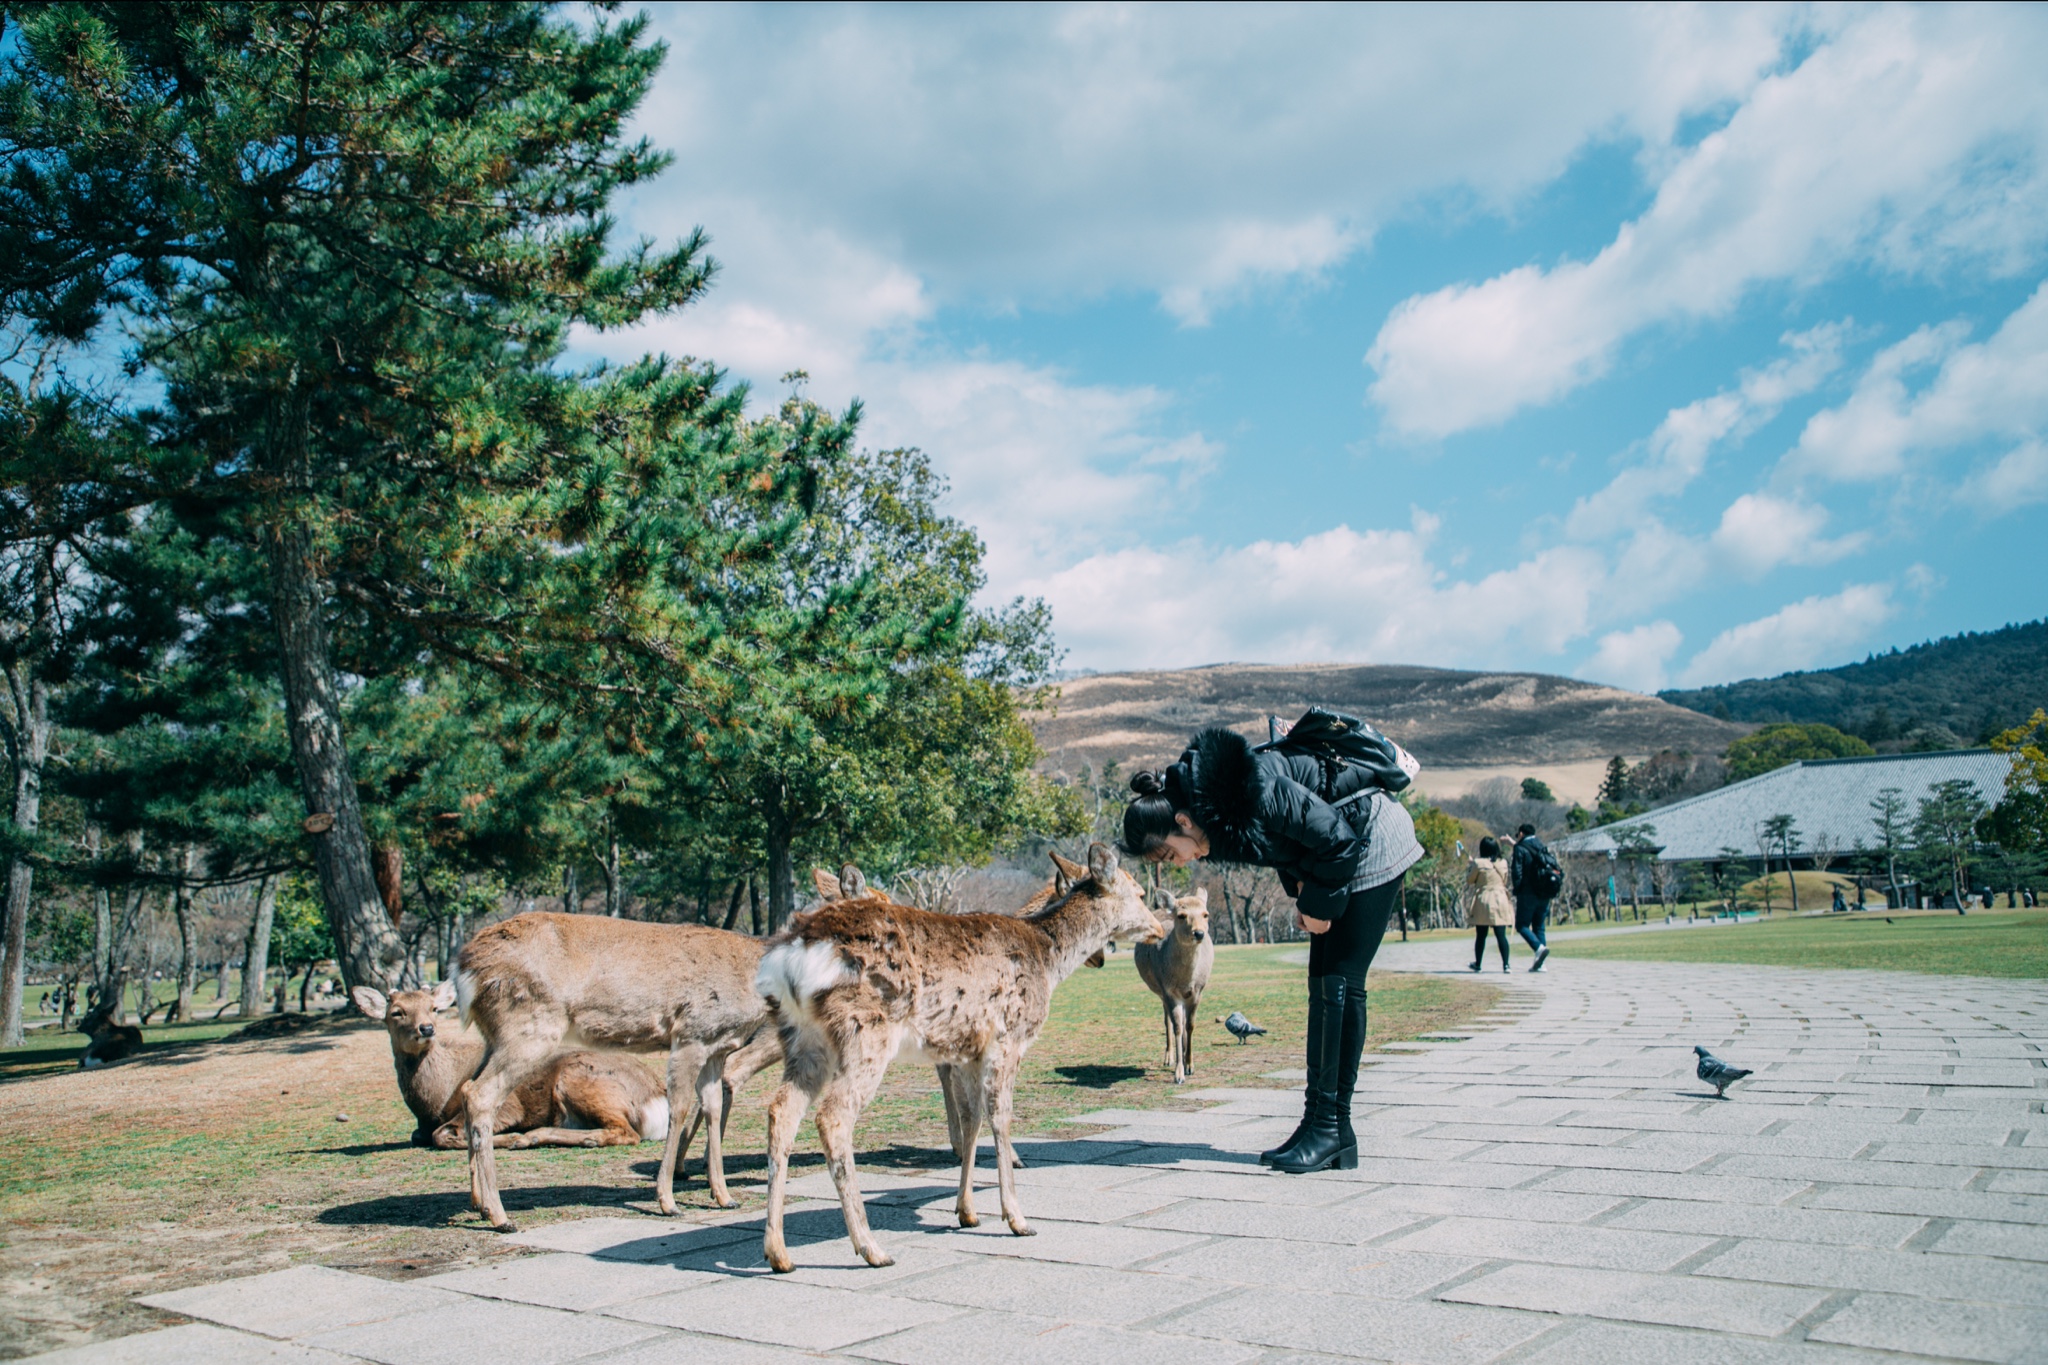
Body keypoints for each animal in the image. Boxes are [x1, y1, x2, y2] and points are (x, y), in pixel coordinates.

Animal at [352, 982, 671, 1154]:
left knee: (627, 1132)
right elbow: (419, 1134)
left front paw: (509, 1138)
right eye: (396, 1012)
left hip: (580, 1080)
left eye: (433, 1008)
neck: (434, 1100)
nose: (426, 1029)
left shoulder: (509, 1106)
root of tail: (656, 1097)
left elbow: (441, 1135)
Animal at [456, 916, 782, 1227]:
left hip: (494, 1037)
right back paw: (500, 1215)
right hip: (530, 1027)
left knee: (467, 1088)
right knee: (481, 1095)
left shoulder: (717, 1047)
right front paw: (667, 1201)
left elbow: (712, 1107)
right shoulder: (691, 1035)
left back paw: (479, 1203)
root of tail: (464, 969)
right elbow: (678, 1108)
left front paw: (724, 1196)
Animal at [757, 839, 1171, 1277]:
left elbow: (972, 1119)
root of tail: (794, 952)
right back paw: (871, 1248)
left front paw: (967, 1212)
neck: (1048, 961)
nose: (1160, 927)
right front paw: (1017, 1219)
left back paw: (779, 1253)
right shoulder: (1008, 1037)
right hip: (865, 1031)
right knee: (833, 1116)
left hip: (802, 1039)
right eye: (1139, 893)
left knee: (781, 1110)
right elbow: (1001, 1117)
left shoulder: (970, 1049)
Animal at [1138, 888, 1212, 1088]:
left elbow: (1190, 1025)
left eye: (1205, 914)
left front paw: (1190, 1065)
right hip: (1160, 992)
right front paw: (1179, 1074)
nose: (1199, 933)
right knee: (1167, 1021)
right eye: (1182, 915)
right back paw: (1168, 1059)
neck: (1185, 980)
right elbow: (1177, 1026)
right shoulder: (1169, 991)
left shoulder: (1198, 991)